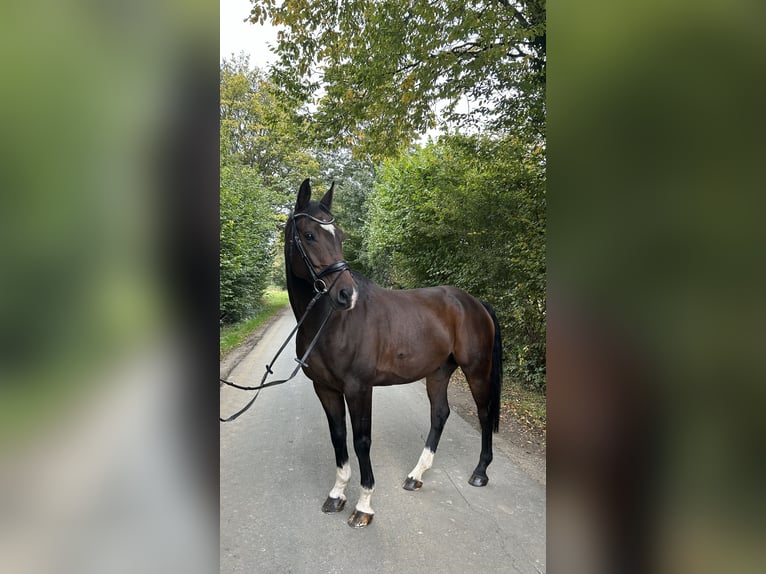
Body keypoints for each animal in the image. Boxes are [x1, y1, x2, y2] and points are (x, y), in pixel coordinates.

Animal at [286, 180, 504, 532]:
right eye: (309, 235)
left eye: (340, 235)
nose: (346, 295)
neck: (331, 322)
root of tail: (475, 303)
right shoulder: (326, 388)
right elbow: (338, 436)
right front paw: (337, 494)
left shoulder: (359, 388)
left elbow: (361, 440)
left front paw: (363, 506)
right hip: (439, 371)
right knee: (439, 414)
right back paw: (416, 475)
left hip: (476, 369)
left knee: (484, 414)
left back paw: (480, 472)